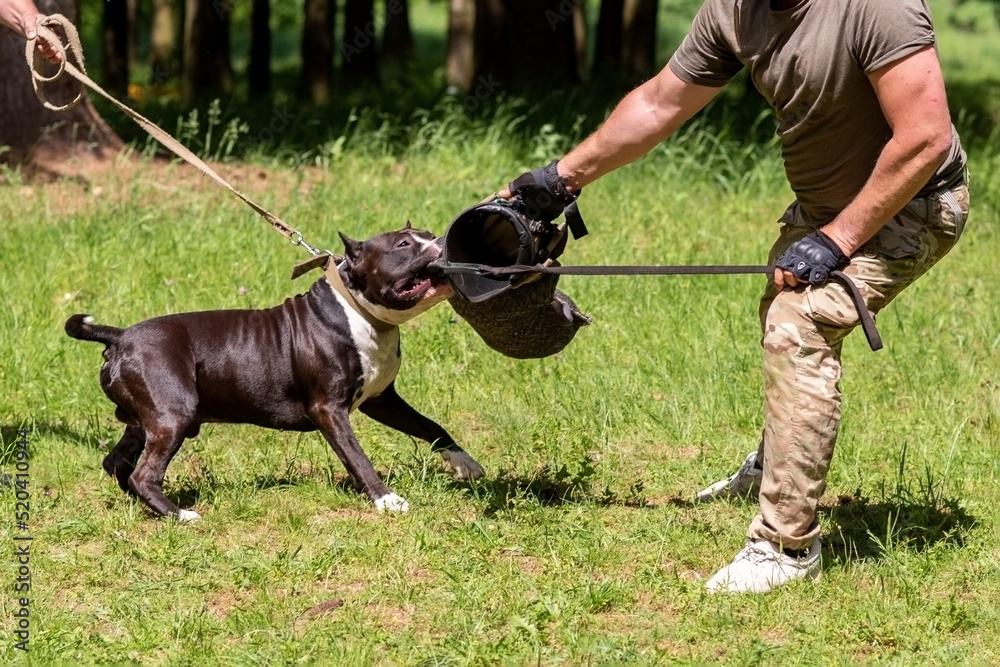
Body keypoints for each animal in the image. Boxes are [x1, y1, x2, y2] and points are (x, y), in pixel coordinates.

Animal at [66, 224, 484, 520]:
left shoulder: (381, 400)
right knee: (143, 474)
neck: (359, 313)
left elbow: (431, 426)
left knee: (117, 463)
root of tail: (120, 337)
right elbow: (357, 456)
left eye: (428, 234)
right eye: (403, 245)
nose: (441, 241)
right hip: (173, 416)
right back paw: (179, 514)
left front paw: (464, 462)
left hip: (145, 420)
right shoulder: (328, 410)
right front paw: (385, 499)